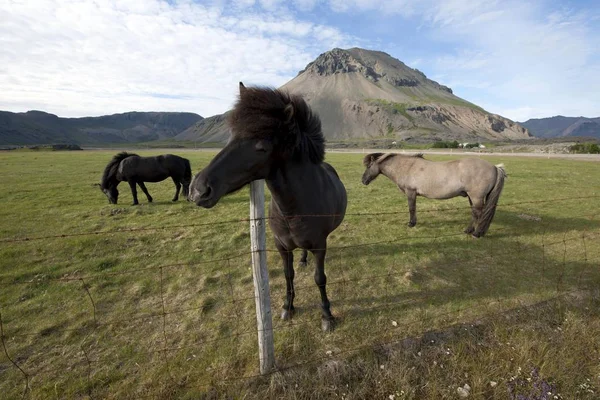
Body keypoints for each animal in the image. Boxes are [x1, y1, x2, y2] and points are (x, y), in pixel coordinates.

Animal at [188, 82, 346, 332]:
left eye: (261, 147)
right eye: (231, 137)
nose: (198, 189)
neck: (293, 209)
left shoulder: (320, 245)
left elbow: (320, 278)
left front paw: (327, 316)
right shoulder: (281, 245)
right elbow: (288, 274)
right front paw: (287, 306)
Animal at [360, 152, 506, 236]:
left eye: (369, 166)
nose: (363, 180)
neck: (407, 166)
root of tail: (495, 167)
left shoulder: (410, 192)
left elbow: (411, 208)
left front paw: (411, 223)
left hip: (476, 197)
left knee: (479, 214)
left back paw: (475, 233)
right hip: (473, 197)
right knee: (477, 214)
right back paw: (472, 231)